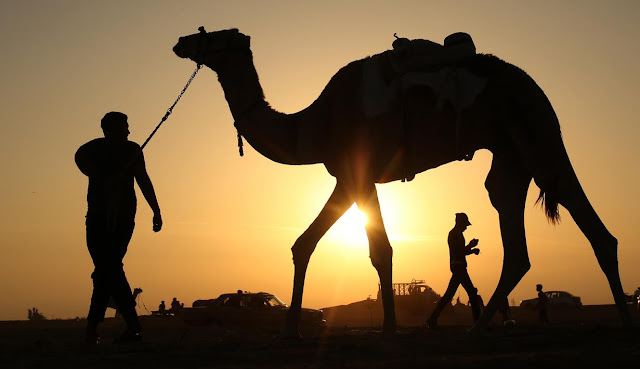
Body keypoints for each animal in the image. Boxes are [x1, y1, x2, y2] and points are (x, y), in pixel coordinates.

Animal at [172, 27, 632, 334]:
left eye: (213, 35)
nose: (180, 42)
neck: (313, 123)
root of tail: (533, 84)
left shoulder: (360, 175)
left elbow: (381, 250)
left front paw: (390, 329)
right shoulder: (347, 178)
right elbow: (305, 243)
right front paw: (290, 331)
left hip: (538, 131)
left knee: (584, 215)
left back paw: (626, 320)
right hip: (509, 154)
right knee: (511, 228)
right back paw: (478, 327)